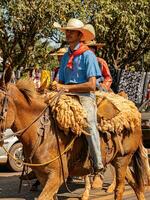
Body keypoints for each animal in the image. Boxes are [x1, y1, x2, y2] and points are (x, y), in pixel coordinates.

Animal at [0, 76, 146, 198]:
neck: (42, 133)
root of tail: (133, 111)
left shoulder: (56, 176)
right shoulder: (43, 175)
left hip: (123, 159)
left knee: (120, 189)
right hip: (118, 159)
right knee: (136, 185)